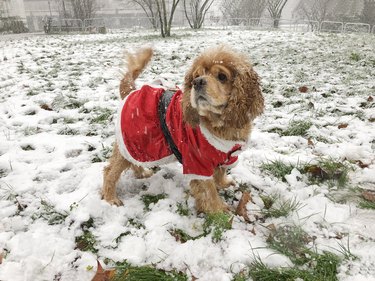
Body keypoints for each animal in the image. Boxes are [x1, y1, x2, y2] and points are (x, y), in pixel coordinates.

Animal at [101, 45, 262, 212]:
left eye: (222, 76)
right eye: (196, 76)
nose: (197, 82)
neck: (219, 124)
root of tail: (131, 91)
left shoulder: (225, 155)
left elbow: (220, 172)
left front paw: (223, 183)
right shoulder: (197, 162)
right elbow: (208, 190)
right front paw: (220, 210)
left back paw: (142, 173)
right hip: (133, 140)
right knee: (110, 171)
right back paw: (111, 198)